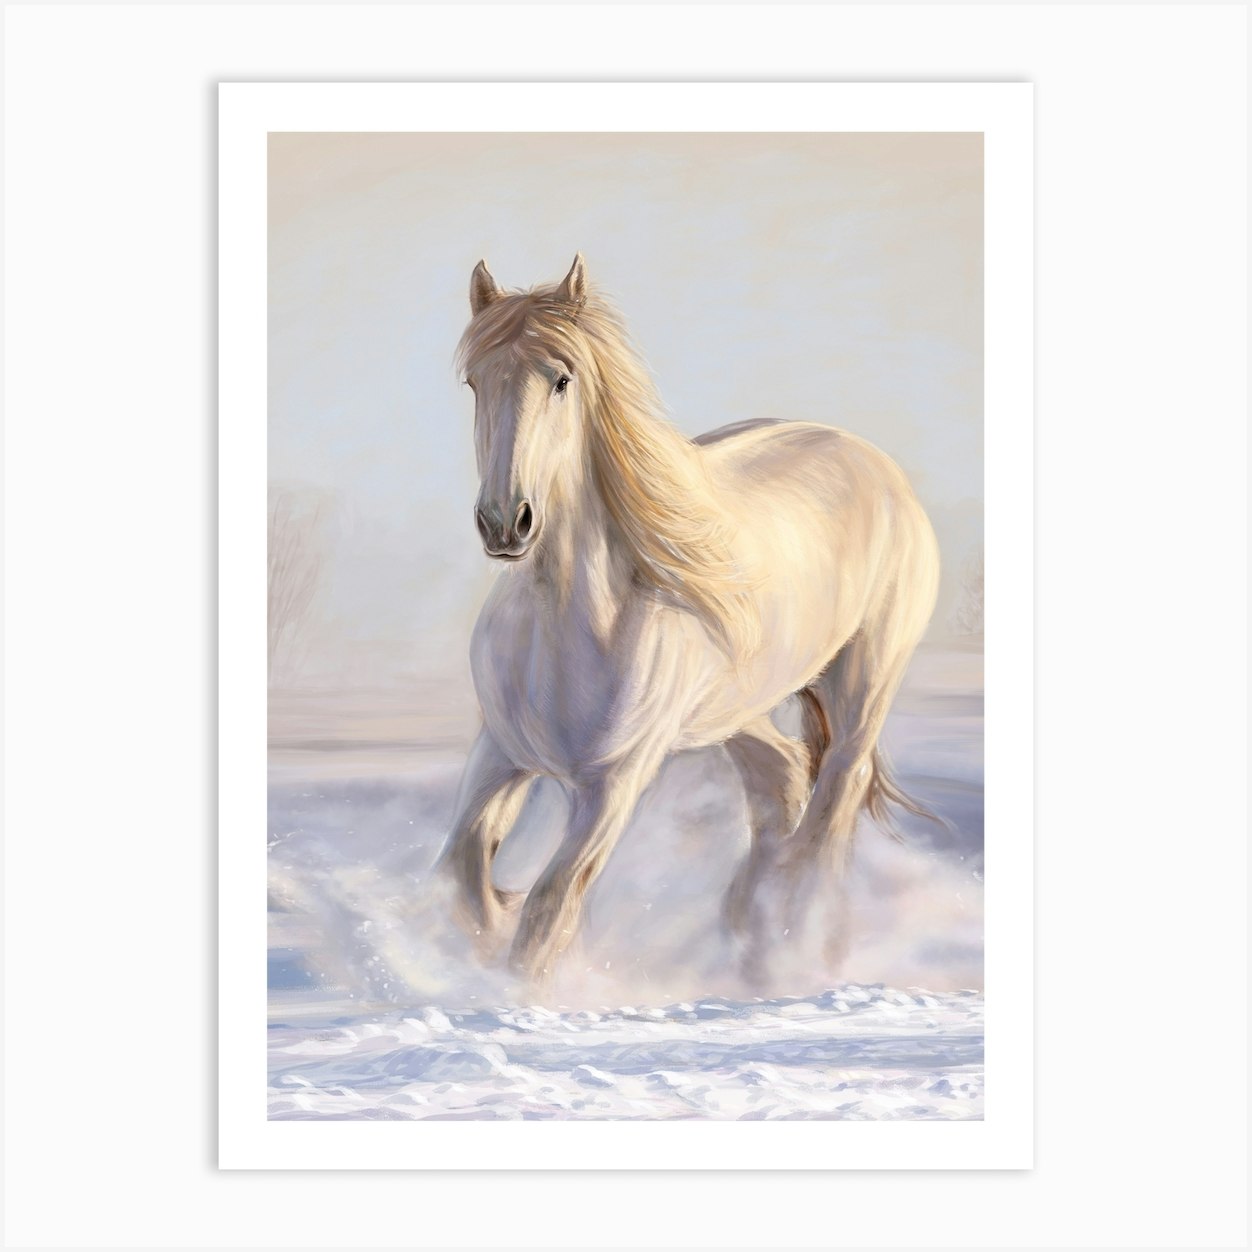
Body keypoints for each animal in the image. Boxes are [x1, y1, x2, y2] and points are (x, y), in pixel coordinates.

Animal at [436, 254, 940, 987]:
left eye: (561, 380)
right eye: (475, 383)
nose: (506, 522)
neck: (565, 629)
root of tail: (878, 464)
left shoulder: (614, 782)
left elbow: (548, 908)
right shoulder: (501, 753)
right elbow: (463, 874)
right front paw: (486, 940)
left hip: (861, 690)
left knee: (829, 810)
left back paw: (796, 948)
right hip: (738, 710)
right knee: (782, 781)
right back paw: (750, 936)